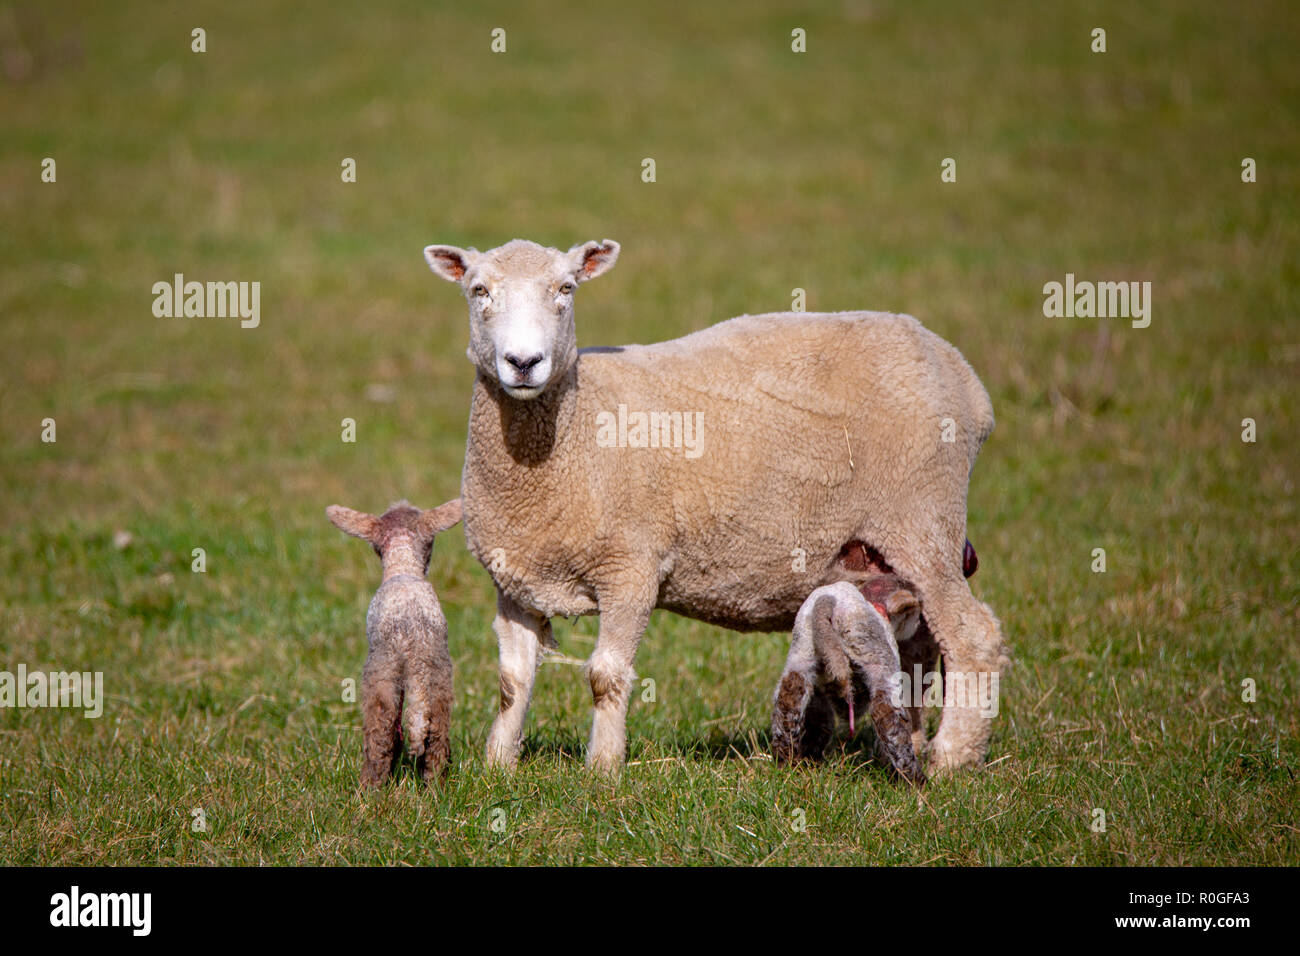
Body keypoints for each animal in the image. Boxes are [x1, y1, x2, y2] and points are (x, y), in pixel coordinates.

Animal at [326, 498, 462, 786]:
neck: (403, 564)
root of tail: (414, 644)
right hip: (439, 677)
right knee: (436, 737)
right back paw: (434, 787)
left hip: (382, 673)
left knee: (380, 735)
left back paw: (370, 788)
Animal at [771, 577, 926, 785]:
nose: (918, 622)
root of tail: (829, 602)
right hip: (871, 649)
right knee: (887, 715)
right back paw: (914, 779)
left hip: (802, 649)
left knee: (789, 698)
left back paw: (786, 762)